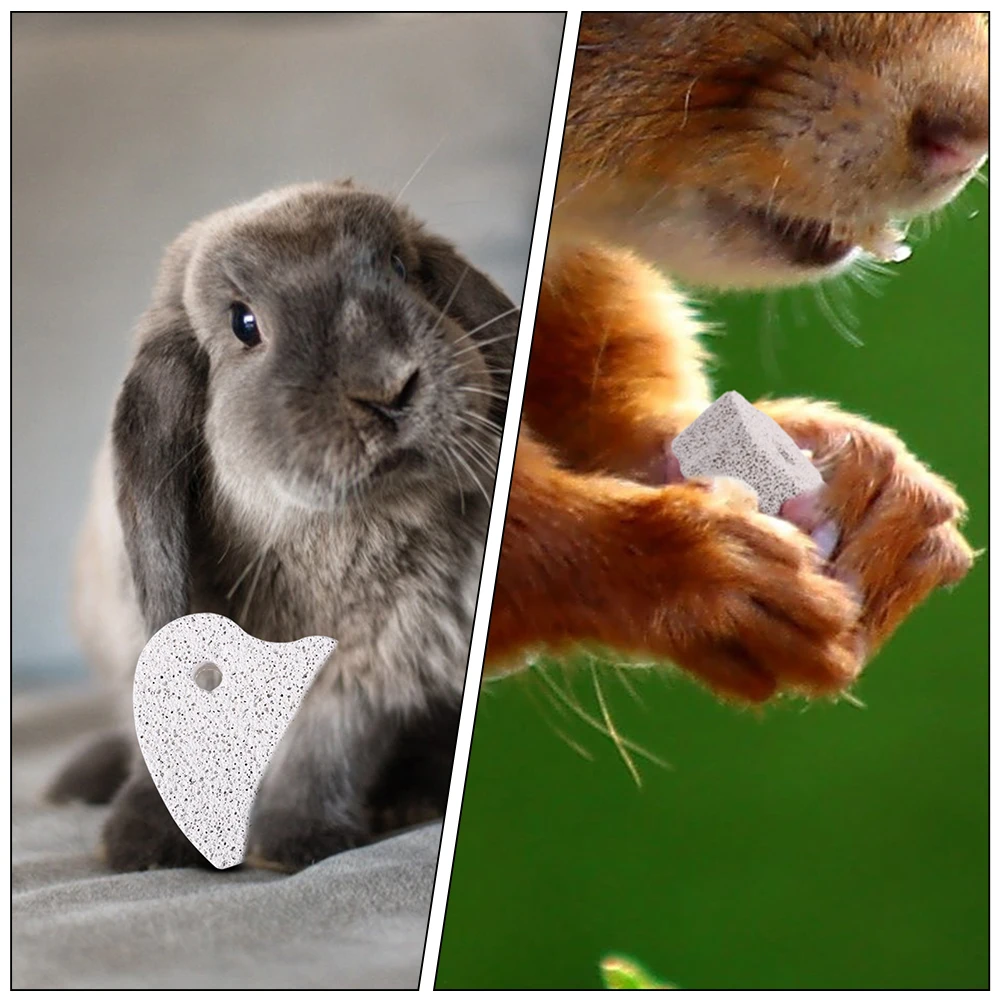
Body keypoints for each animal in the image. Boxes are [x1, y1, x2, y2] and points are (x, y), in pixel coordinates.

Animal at [49, 181, 517, 871]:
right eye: (244, 324)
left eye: (401, 268)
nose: (388, 388)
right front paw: (141, 844)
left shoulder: (363, 675)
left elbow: (324, 750)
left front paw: (296, 843)